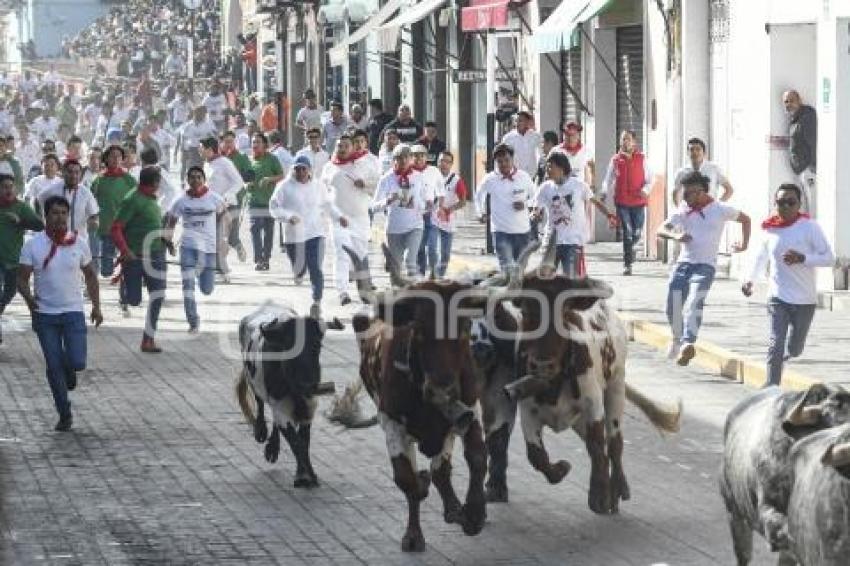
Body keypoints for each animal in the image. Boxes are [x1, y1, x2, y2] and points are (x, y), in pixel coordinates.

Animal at [234, 306, 342, 488]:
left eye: (317, 345)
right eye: (289, 347)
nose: (307, 384)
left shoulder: (309, 406)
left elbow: (304, 441)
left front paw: (305, 474)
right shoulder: (280, 406)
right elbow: (296, 443)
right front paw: (305, 476)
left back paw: (272, 448)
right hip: (254, 382)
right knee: (260, 403)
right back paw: (261, 432)